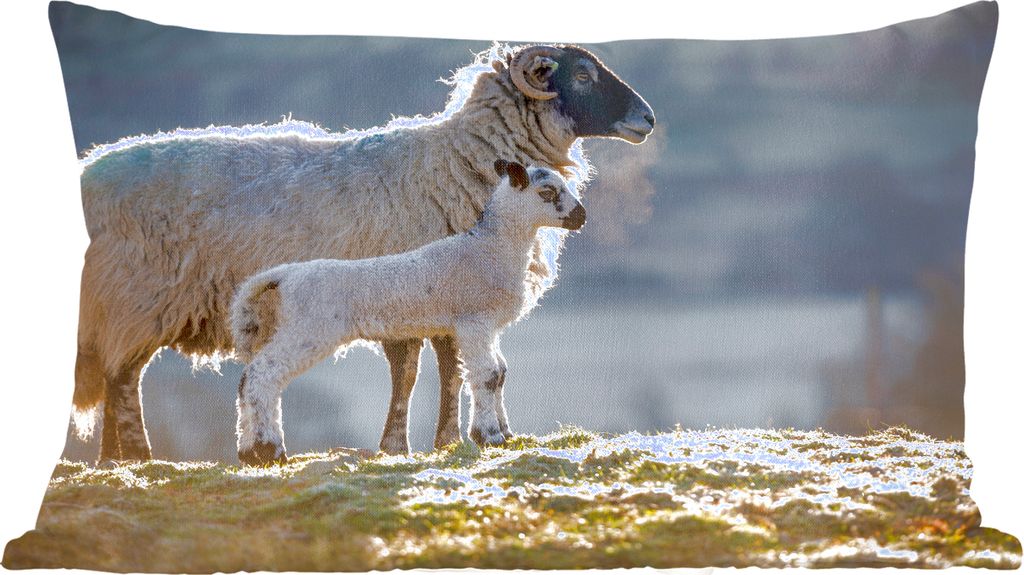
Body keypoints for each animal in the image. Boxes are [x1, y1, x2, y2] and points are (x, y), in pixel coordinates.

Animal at [232, 160, 585, 465]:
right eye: (548, 192)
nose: (581, 216)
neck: (490, 249)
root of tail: (284, 276)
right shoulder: (473, 320)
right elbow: (486, 375)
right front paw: (490, 437)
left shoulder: (486, 326)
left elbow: (500, 373)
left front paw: (506, 435)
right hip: (309, 329)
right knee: (263, 375)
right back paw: (270, 451)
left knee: (248, 377)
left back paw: (250, 452)